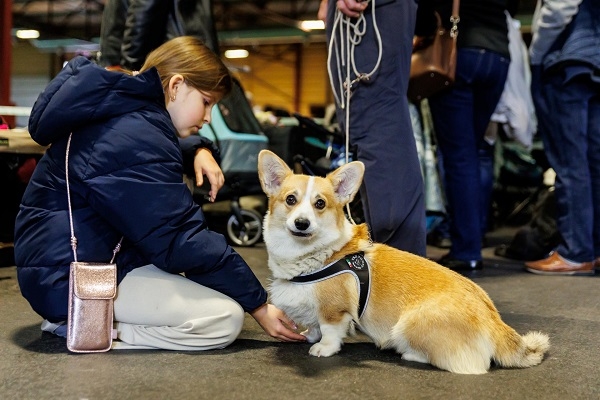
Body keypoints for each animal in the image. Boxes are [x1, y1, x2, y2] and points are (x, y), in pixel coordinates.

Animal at [258, 151, 548, 376]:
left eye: (320, 203)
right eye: (291, 199)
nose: (302, 223)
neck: (315, 255)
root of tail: (494, 321)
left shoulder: (334, 309)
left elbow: (330, 331)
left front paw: (322, 348)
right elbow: (315, 325)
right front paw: (309, 334)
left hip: (408, 323)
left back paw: (410, 354)